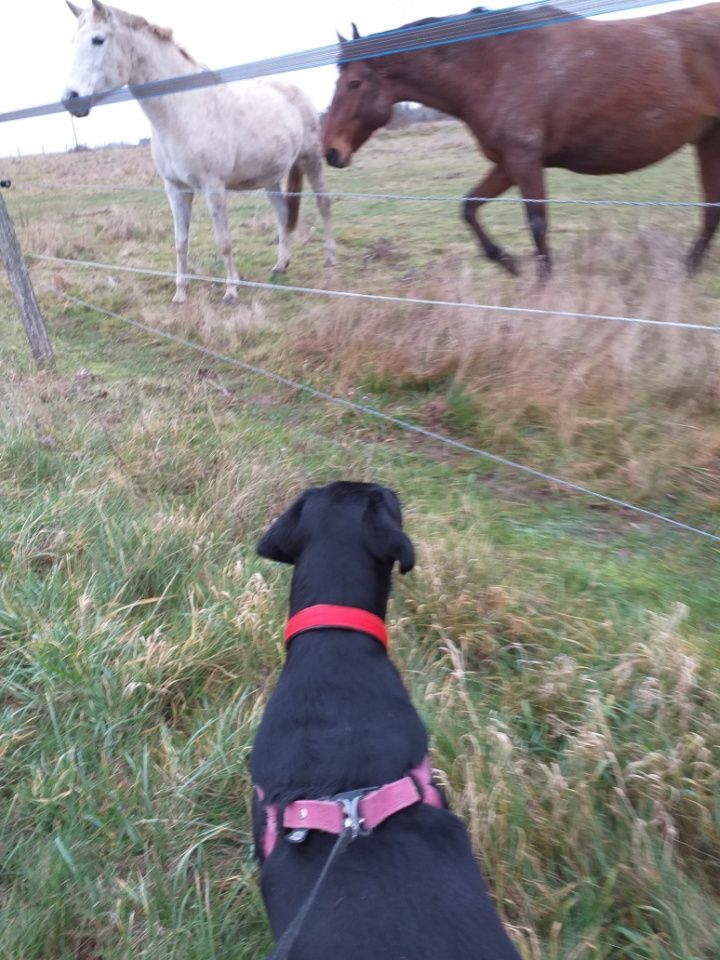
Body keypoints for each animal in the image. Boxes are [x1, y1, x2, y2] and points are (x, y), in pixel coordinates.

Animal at [62, 0, 334, 302]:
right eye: (72, 42)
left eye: (98, 40)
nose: (71, 99)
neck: (183, 110)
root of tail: (294, 89)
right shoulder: (175, 188)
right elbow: (181, 242)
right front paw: (180, 294)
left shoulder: (213, 187)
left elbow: (223, 241)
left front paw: (231, 290)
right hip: (270, 177)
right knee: (283, 214)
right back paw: (281, 265)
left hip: (311, 160)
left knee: (324, 203)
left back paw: (330, 259)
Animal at [324, 6, 720, 278]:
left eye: (354, 83)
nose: (330, 151)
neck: (492, 65)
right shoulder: (507, 162)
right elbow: (469, 208)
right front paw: (508, 263)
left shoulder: (525, 159)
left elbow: (537, 225)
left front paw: (543, 287)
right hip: (708, 139)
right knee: (711, 211)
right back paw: (685, 274)